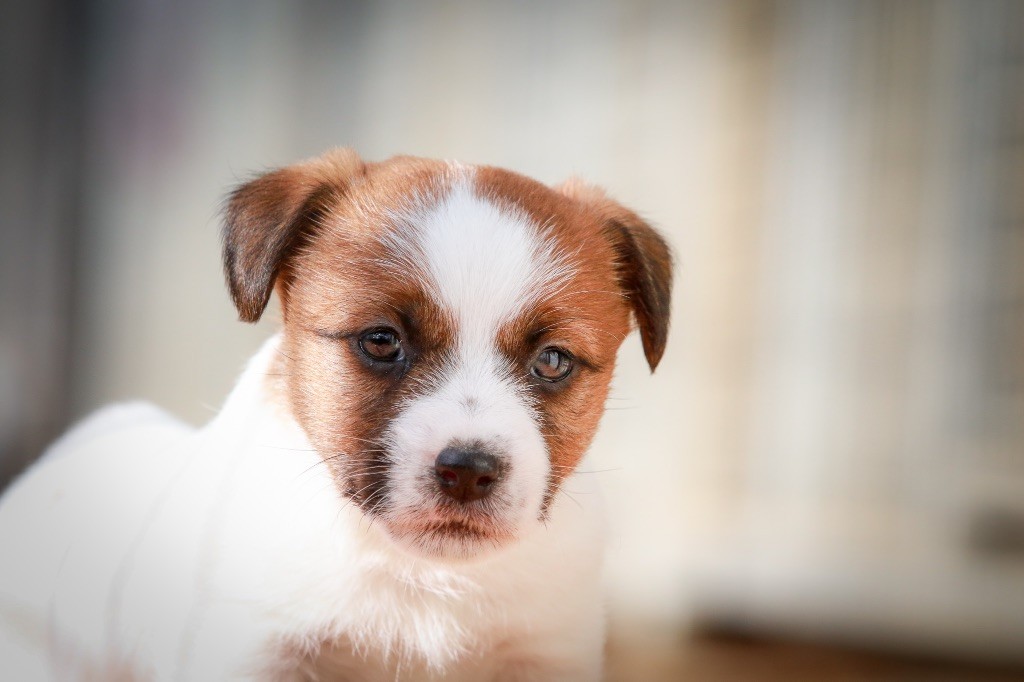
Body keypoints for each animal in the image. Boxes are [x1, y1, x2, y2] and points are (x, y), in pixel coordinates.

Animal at [0, 150, 671, 679]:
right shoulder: (255, 649)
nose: (469, 472)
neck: (421, 574)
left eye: (553, 361)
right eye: (380, 341)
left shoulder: (548, 651)